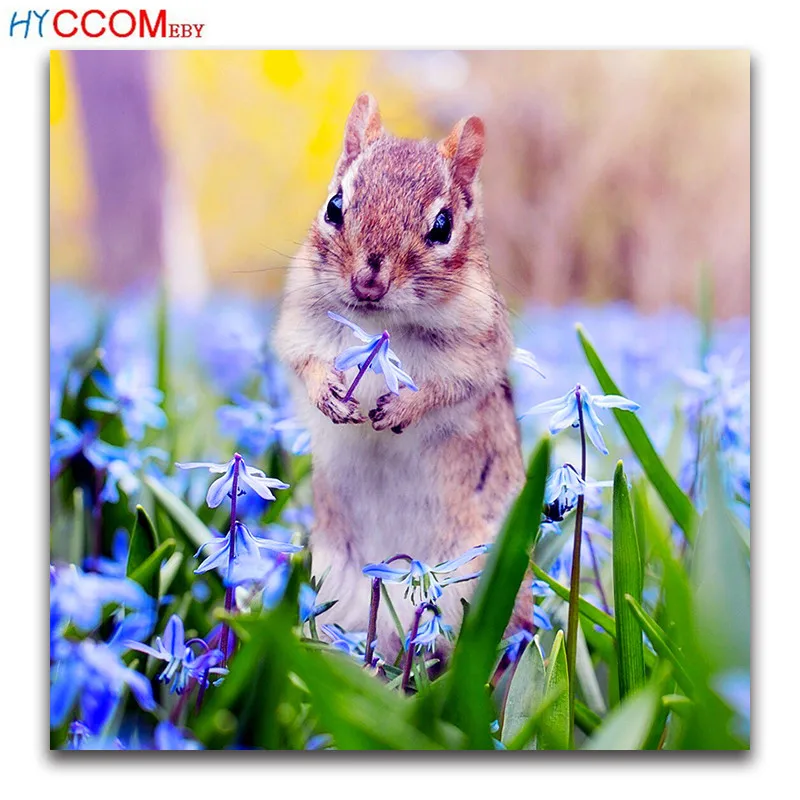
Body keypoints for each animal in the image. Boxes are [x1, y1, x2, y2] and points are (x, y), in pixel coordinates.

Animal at [273, 94, 526, 657]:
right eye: (334, 206)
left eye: (442, 226)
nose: (368, 280)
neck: (378, 324)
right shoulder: (299, 326)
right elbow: (305, 362)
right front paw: (329, 394)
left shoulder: (477, 352)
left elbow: (447, 389)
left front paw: (402, 408)